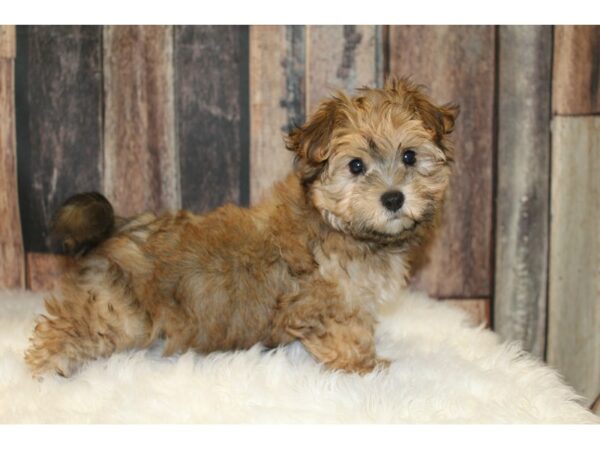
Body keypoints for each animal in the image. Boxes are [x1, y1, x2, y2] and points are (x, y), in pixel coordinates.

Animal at [22, 79, 454, 378]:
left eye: (410, 156)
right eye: (356, 166)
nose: (393, 198)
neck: (336, 224)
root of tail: (117, 226)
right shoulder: (324, 304)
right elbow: (347, 332)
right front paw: (366, 366)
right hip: (116, 312)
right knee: (68, 327)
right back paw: (45, 370)